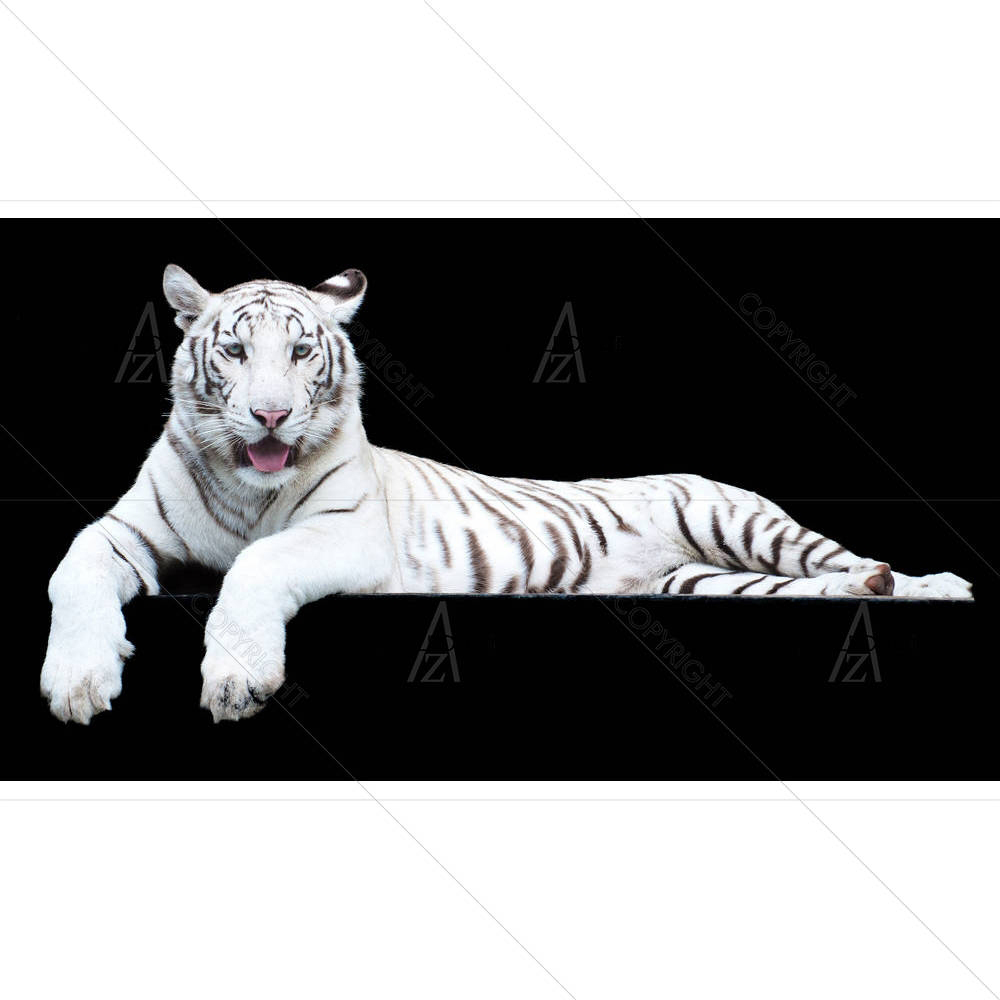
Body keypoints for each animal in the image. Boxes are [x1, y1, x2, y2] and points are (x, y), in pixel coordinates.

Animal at [40, 265, 974, 724]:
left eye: (302, 352)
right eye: (235, 353)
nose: (269, 414)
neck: (246, 482)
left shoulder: (348, 534)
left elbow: (256, 565)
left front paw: (236, 679)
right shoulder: (125, 531)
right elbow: (71, 570)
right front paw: (79, 682)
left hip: (739, 521)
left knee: (846, 558)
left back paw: (932, 585)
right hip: (709, 582)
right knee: (815, 586)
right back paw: (869, 592)